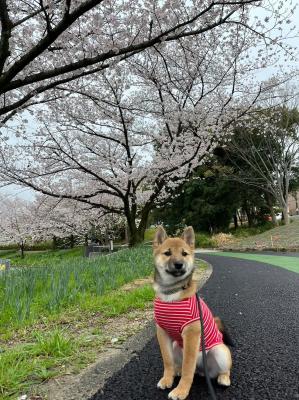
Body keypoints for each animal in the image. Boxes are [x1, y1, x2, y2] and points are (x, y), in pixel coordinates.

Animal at [154, 227, 233, 398]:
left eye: (184, 253)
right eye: (167, 253)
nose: (179, 264)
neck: (171, 293)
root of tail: (202, 371)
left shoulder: (191, 333)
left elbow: (187, 368)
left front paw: (181, 391)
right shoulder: (162, 332)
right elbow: (167, 361)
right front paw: (167, 379)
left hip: (220, 351)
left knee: (223, 369)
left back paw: (224, 378)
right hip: (176, 345)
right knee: (179, 364)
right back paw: (176, 371)